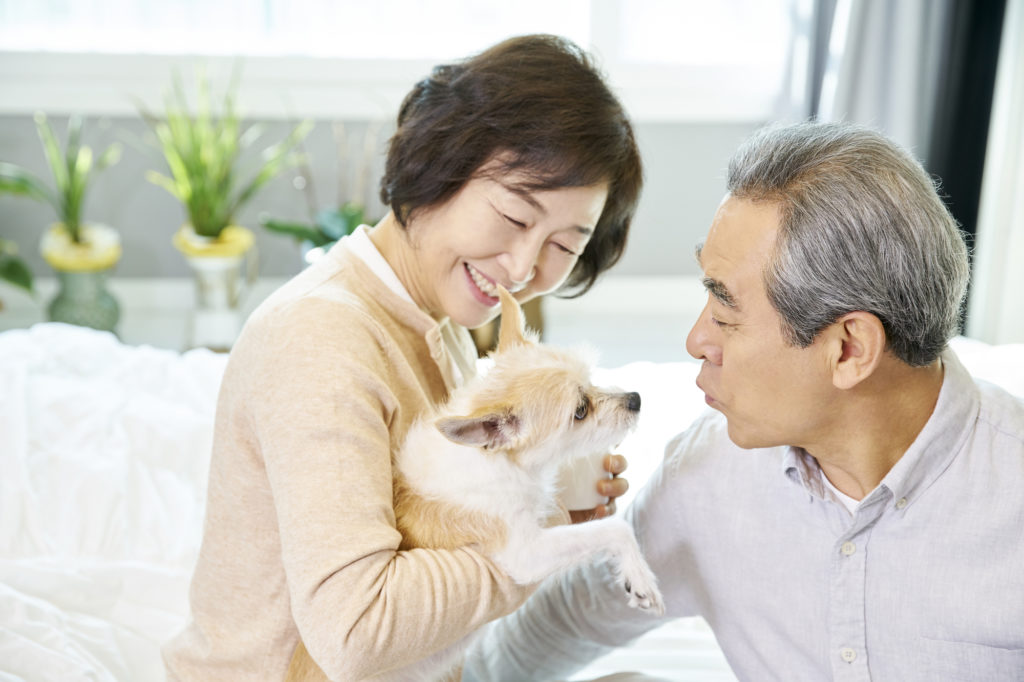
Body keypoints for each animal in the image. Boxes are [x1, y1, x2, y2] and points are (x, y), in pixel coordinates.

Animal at [288, 286, 663, 679]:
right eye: (580, 411)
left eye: (591, 379)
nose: (635, 399)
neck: (500, 461)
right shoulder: (525, 552)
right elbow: (614, 529)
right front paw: (641, 578)